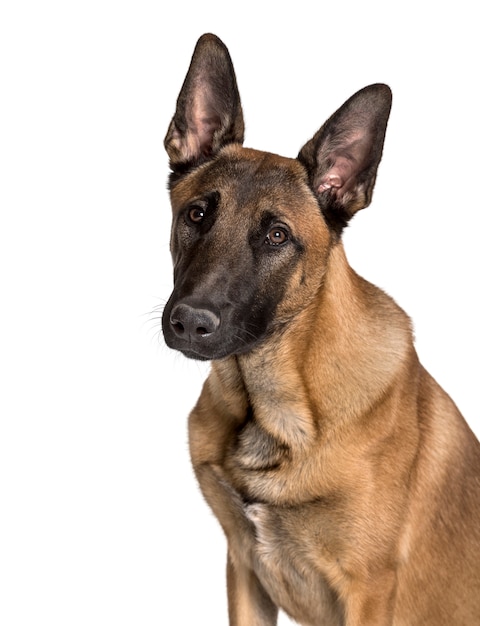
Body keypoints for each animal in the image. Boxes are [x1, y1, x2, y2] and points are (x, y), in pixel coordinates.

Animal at [161, 35, 480, 624]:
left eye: (278, 236)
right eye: (196, 215)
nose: (190, 322)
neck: (275, 410)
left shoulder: (367, 592)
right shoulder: (243, 568)